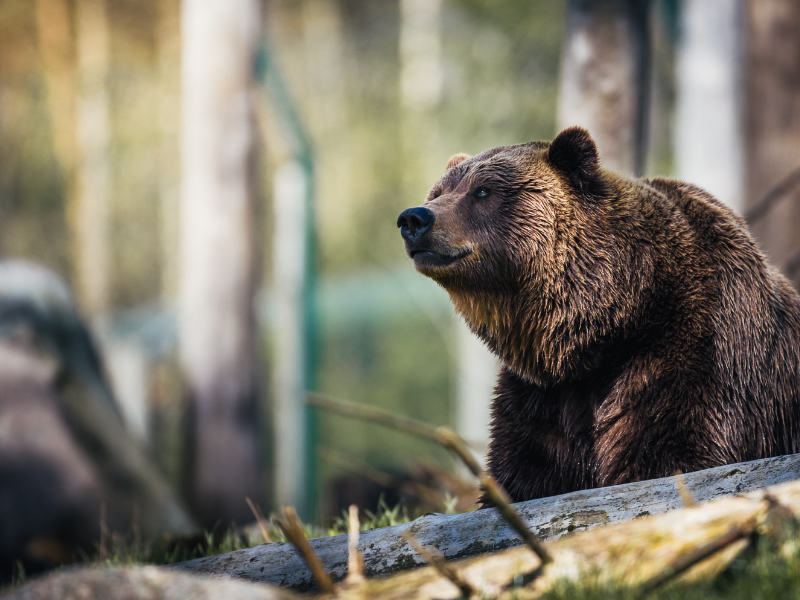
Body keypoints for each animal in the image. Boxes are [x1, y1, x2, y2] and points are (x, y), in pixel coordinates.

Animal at [397, 126, 800, 503]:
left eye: (482, 191)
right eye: (439, 191)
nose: (414, 218)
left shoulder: (694, 355)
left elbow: (670, 454)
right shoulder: (544, 398)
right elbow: (524, 474)